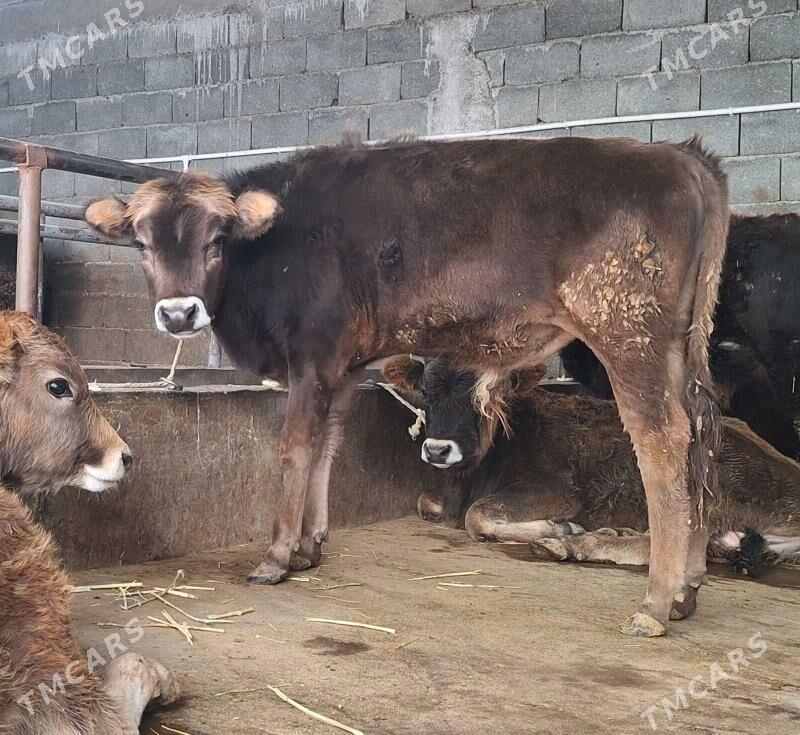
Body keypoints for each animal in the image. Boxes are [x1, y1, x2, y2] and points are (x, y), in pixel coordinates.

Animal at [85, 135, 729, 637]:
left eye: (217, 239)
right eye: (141, 242)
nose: (178, 313)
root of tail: (681, 156)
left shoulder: (311, 357)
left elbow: (296, 448)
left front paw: (277, 556)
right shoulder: (343, 368)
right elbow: (328, 447)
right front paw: (310, 547)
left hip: (629, 334)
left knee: (663, 443)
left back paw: (654, 602)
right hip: (679, 346)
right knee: (701, 439)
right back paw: (687, 590)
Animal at [382, 356, 800, 581]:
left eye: (484, 400)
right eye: (426, 392)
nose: (438, 450)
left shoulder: (558, 492)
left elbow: (477, 515)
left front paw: (558, 527)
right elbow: (426, 503)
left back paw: (571, 541)